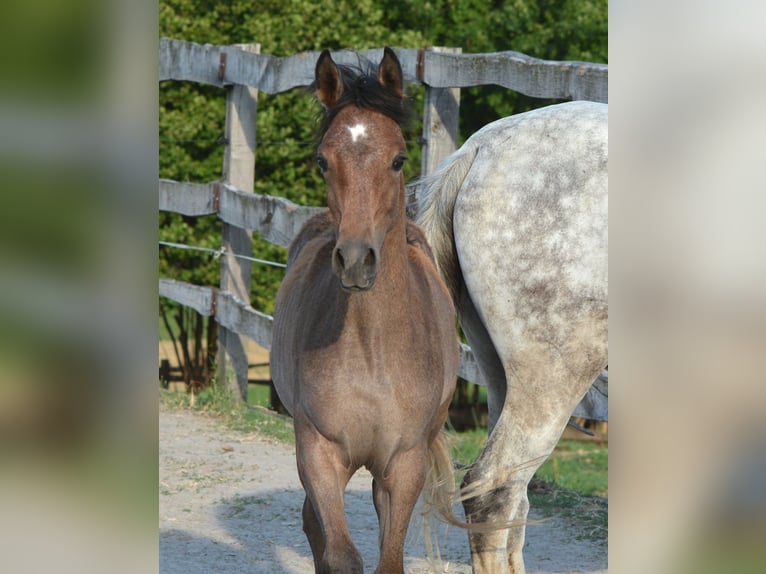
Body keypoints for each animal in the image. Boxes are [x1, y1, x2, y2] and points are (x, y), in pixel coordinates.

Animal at [271, 48, 459, 574]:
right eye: (322, 160)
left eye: (398, 159)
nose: (356, 260)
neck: (372, 351)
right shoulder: (318, 451)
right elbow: (339, 554)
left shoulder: (404, 463)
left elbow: (388, 559)